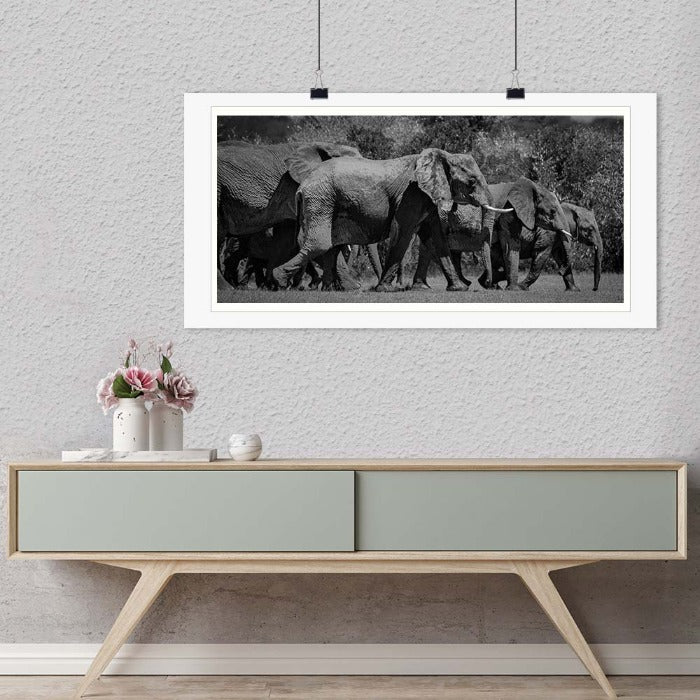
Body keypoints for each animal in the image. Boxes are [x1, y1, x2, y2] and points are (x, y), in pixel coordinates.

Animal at [272, 148, 509, 291]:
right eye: (472, 182)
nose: (487, 284)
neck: (442, 155)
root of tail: (302, 186)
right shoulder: (411, 194)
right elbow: (403, 232)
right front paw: (385, 289)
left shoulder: (426, 197)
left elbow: (435, 238)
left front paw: (459, 288)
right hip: (320, 199)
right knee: (320, 243)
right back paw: (279, 280)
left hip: (325, 200)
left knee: (328, 245)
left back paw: (329, 290)